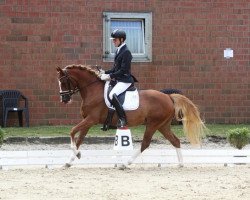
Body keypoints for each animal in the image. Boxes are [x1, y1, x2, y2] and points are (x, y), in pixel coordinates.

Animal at [56, 65, 205, 168]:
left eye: (63, 82)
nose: (64, 99)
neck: (92, 91)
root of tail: (168, 96)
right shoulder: (87, 121)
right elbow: (79, 139)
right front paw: (70, 160)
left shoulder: (91, 119)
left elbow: (72, 132)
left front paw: (76, 154)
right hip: (163, 125)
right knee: (175, 141)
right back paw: (180, 164)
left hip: (153, 124)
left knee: (145, 143)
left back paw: (125, 163)